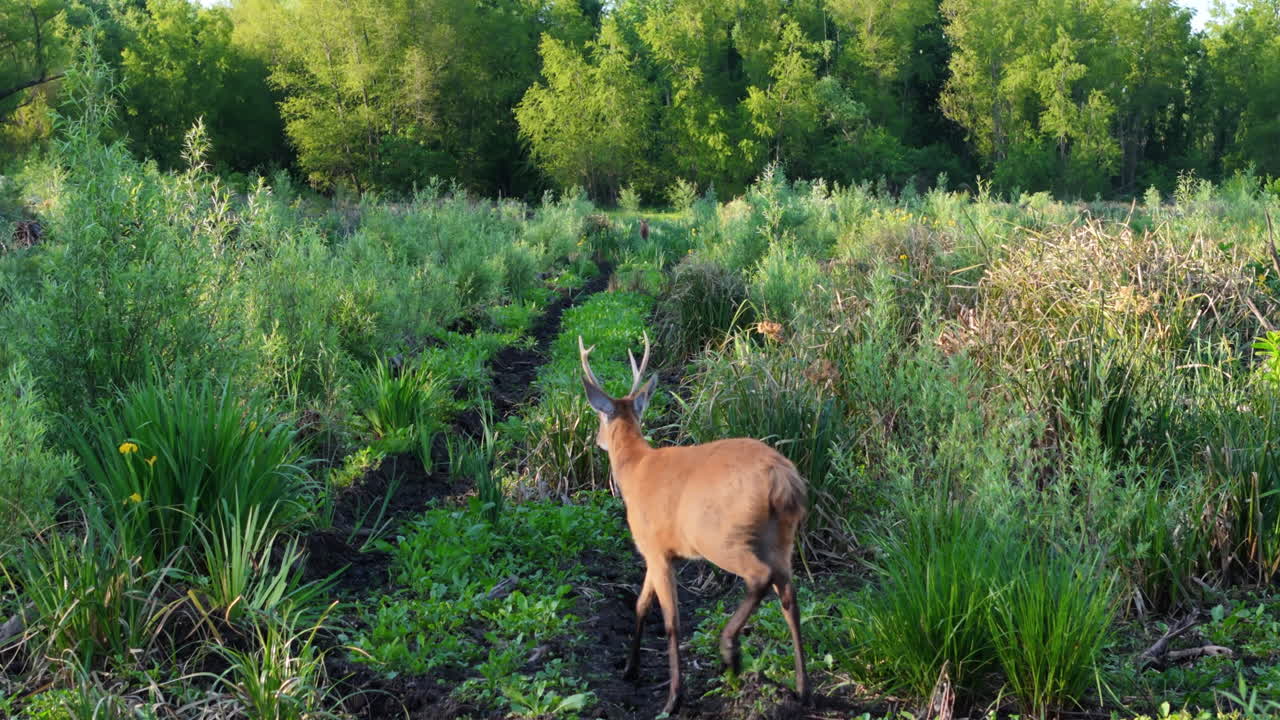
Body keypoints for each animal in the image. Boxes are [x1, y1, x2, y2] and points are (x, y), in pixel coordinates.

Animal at [578, 332, 809, 716]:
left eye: (599, 416)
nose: (596, 440)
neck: (635, 468)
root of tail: (783, 479)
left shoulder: (654, 547)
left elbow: (671, 621)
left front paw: (673, 698)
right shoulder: (654, 551)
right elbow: (641, 604)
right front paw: (630, 669)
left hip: (722, 536)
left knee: (759, 577)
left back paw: (730, 651)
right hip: (782, 537)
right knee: (789, 596)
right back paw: (803, 689)